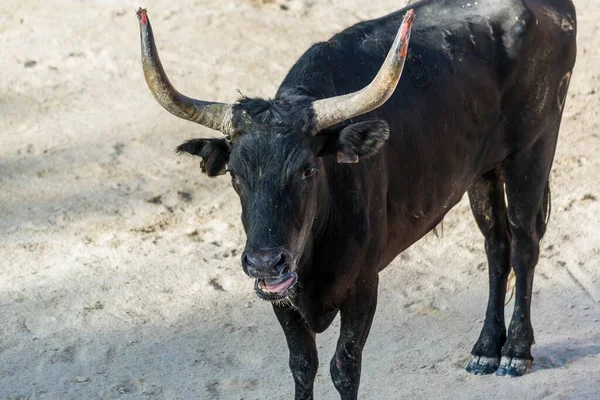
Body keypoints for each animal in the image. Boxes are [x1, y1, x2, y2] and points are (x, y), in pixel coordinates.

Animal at [136, 0, 576, 396]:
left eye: (307, 170)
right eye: (234, 174)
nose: (263, 262)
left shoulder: (364, 286)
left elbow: (344, 367)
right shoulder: (282, 299)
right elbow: (302, 365)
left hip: (534, 149)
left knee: (524, 242)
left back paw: (515, 352)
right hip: (483, 171)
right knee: (496, 244)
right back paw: (486, 349)